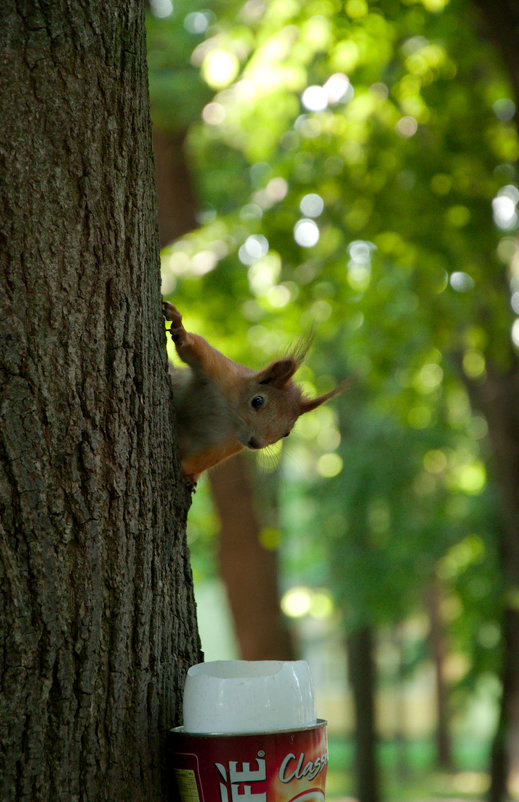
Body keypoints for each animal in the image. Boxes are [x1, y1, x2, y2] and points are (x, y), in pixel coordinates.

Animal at [165, 304, 344, 484]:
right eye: (257, 401)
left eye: (286, 433)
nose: (255, 443)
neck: (229, 415)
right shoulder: (223, 372)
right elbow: (193, 347)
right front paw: (180, 328)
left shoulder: (226, 444)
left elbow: (203, 460)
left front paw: (185, 470)